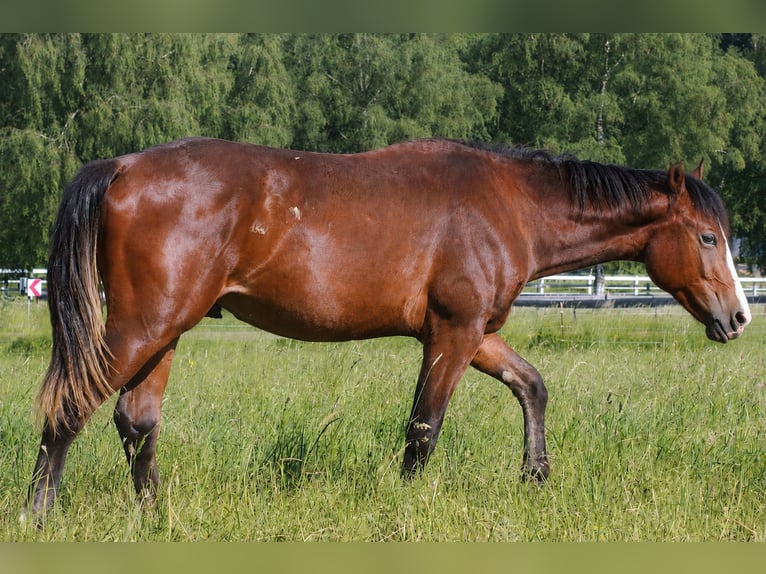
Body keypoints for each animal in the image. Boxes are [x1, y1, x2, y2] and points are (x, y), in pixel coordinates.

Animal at [26, 137, 751, 521]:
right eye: (708, 237)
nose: (739, 317)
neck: (508, 204)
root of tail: (123, 167)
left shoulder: (473, 333)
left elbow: (532, 386)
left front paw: (536, 475)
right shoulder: (453, 335)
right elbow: (424, 428)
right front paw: (405, 507)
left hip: (164, 333)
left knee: (136, 422)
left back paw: (155, 515)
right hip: (142, 328)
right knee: (70, 407)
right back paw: (39, 511)